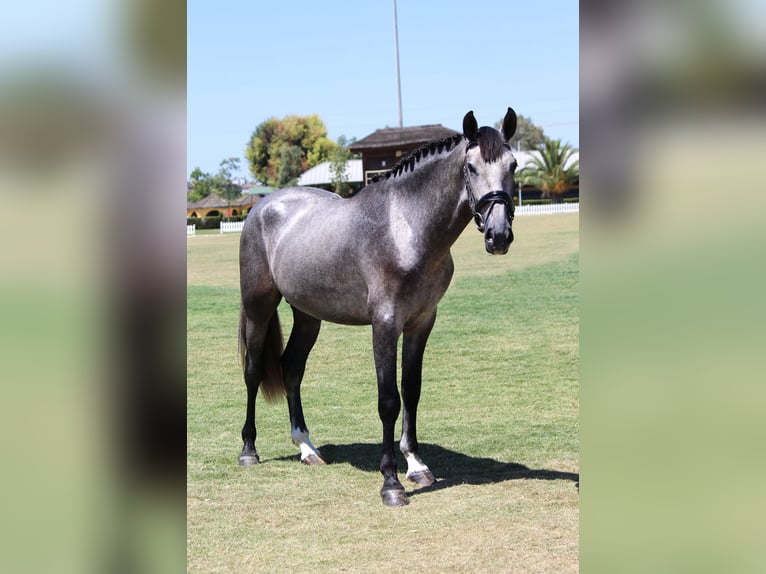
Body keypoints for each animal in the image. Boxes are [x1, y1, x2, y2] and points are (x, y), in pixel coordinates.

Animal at [237, 108, 520, 508]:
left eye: (513, 165)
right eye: (471, 167)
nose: (499, 236)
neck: (406, 226)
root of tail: (262, 206)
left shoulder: (421, 322)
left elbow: (411, 390)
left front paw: (416, 465)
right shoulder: (385, 323)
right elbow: (388, 400)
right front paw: (391, 483)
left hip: (308, 316)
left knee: (291, 368)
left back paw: (307, 447)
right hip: (258, 306)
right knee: (252, 371)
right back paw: (249, 450)